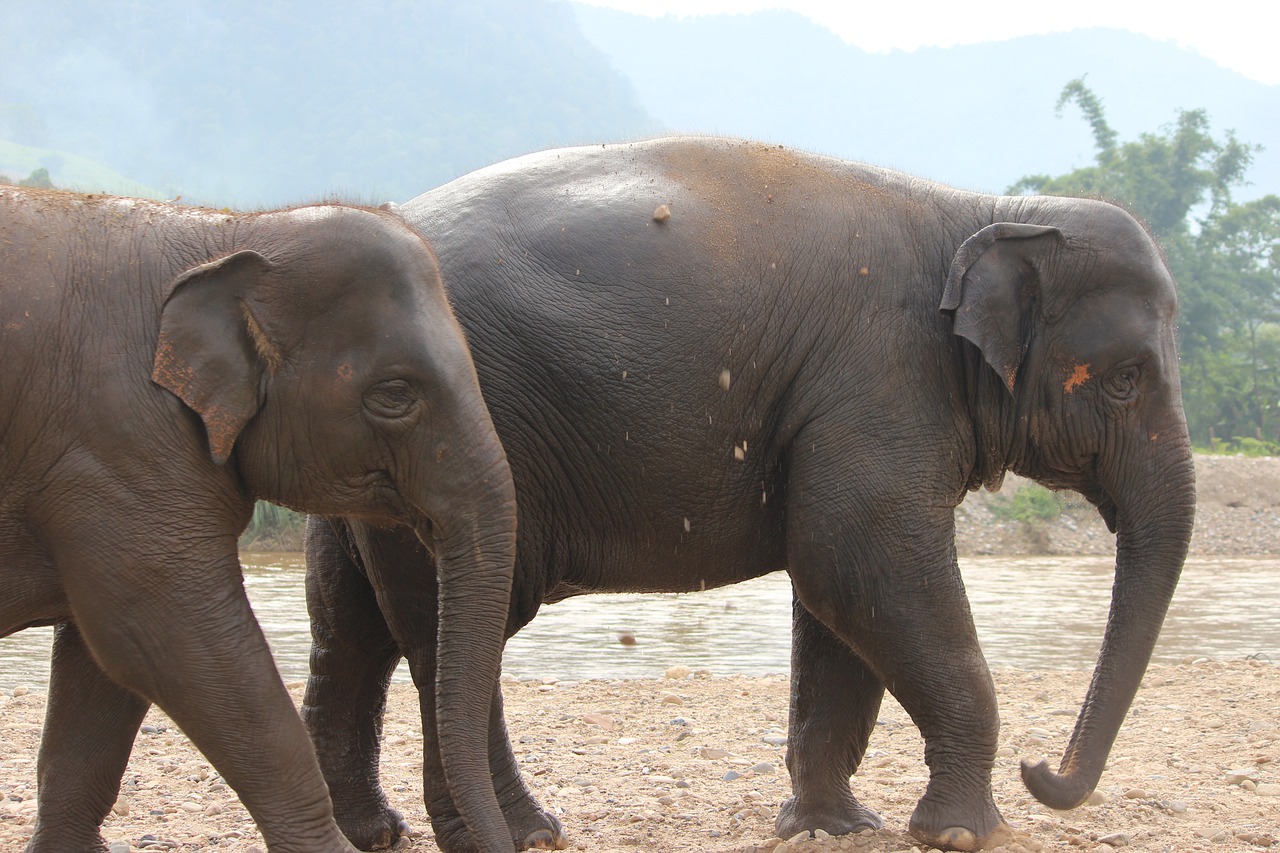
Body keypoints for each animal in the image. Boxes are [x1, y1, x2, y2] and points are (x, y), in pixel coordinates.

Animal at [2, 189, 519, 850]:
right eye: (395, 394)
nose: (532, 839)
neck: (229, 233)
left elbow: (100, 663)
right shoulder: (116, 442)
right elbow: (165, 635)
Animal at [302, 136, 1198, 845]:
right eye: (1126, 378)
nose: (1040, 766)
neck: (984, 211)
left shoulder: (840, 404)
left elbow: (837, 593)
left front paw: (833, 826)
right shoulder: (880, 380)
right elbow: (856, 558)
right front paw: (961, 834)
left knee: (354, 634)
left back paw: (372, 831)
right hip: (444, 437)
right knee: (448, 640)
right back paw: (525, 834)